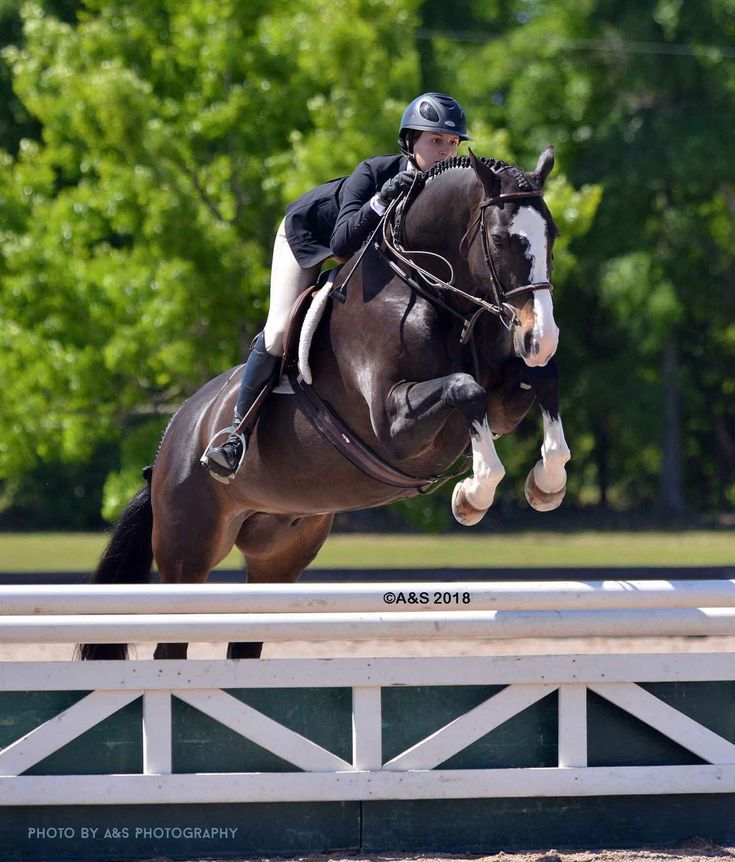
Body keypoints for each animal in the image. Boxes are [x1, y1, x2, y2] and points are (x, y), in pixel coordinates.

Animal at [82, 147, 576, 660]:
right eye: (500, 239)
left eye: (553, 235)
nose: (539, 337)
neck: (431, 293)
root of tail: (169, 443)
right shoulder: (392, 426)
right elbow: (465, 389)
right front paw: (473, 495)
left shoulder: (499, 405)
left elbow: (542, 380)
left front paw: (546, 483)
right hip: (187, 552)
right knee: (172, 640)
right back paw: (226, 450)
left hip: (279, 553)